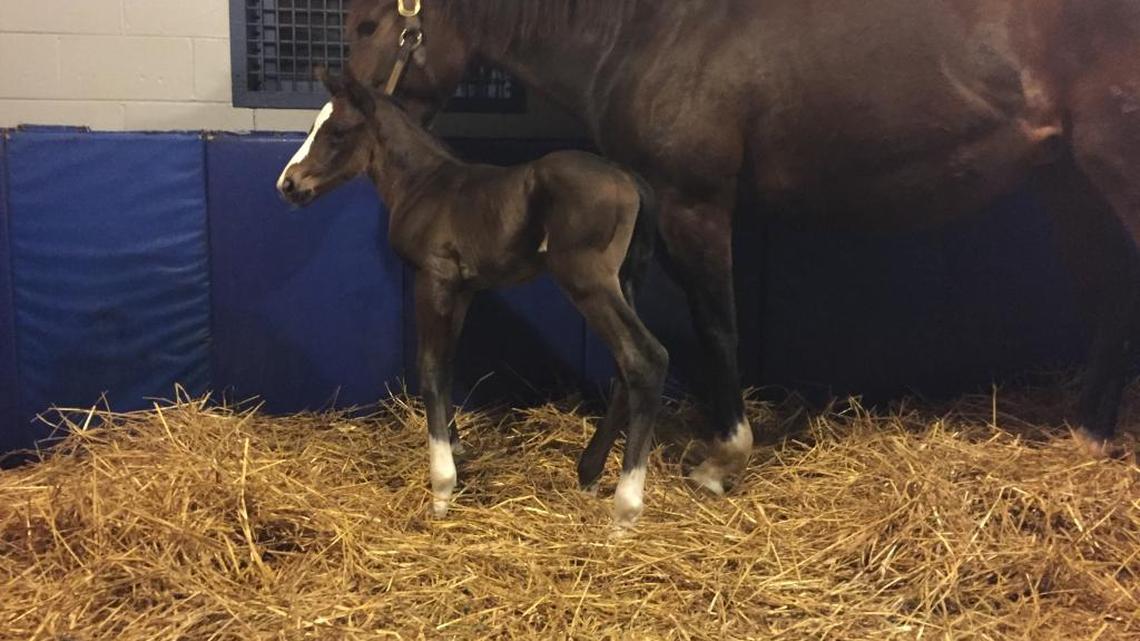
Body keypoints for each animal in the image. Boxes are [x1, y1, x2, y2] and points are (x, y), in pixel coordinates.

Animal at [276, 68, 668, 527]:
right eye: (313, 127)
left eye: (337, 131)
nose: (287, 184)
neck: (423, 185)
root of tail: (630, 179)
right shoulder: (462, 290)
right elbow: (446, 363)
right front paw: (457, 448)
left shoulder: (433, 279)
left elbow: (429, 367)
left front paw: (442, 486)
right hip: (624, 282)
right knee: (626, 369)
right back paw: (588, 474)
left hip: (588, 282)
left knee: (645, 358)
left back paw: (625, 509)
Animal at [345, 0, 1140, 488]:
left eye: (366, 22)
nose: (348, 109)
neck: (646, 33)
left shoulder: (696, 206)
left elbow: (715, 324)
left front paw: (721, 457)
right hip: (1069, 184)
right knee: (1109, 301)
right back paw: (1088, 434)